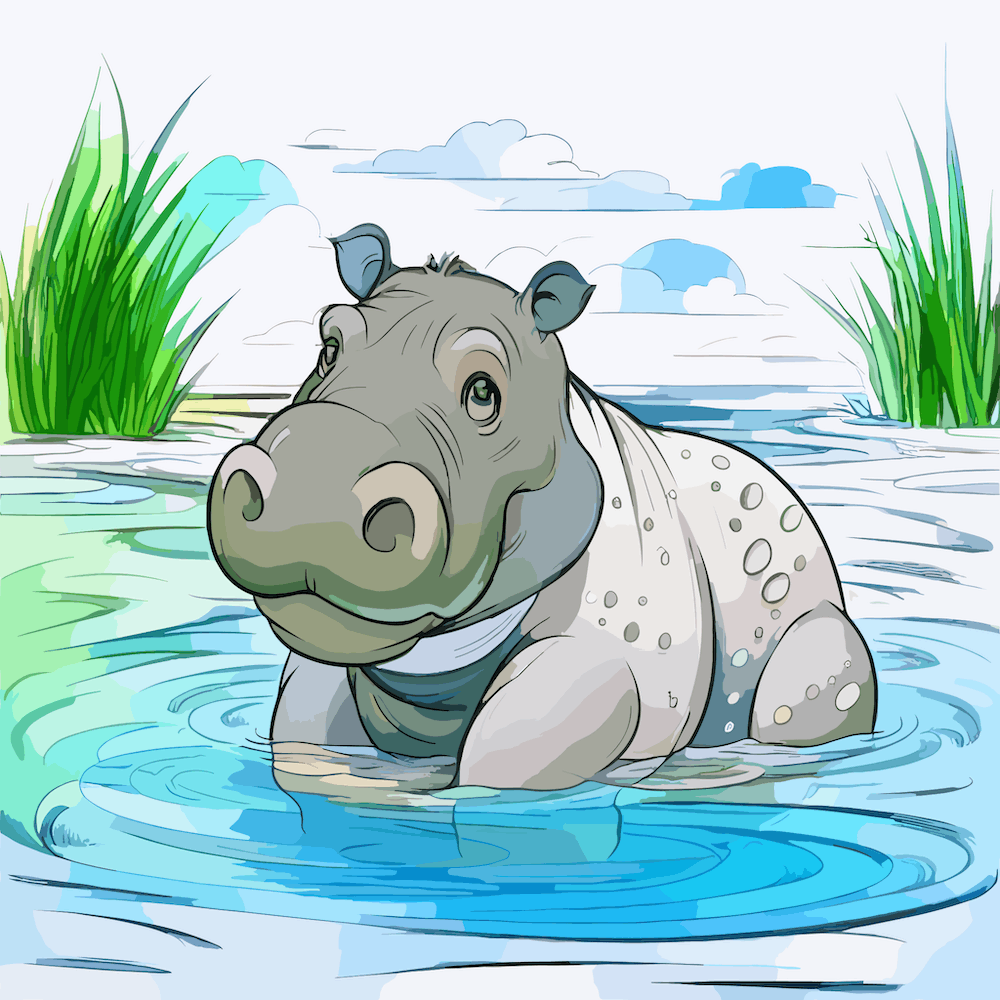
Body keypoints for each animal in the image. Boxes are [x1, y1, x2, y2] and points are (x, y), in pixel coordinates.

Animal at [208, 223, 876, 791]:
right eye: (328, 345)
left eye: (484, 391)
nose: (311, 488)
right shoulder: (317, 681)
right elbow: (306, 747)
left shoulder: (608, 671)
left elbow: (507, 757)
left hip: (806, 605)